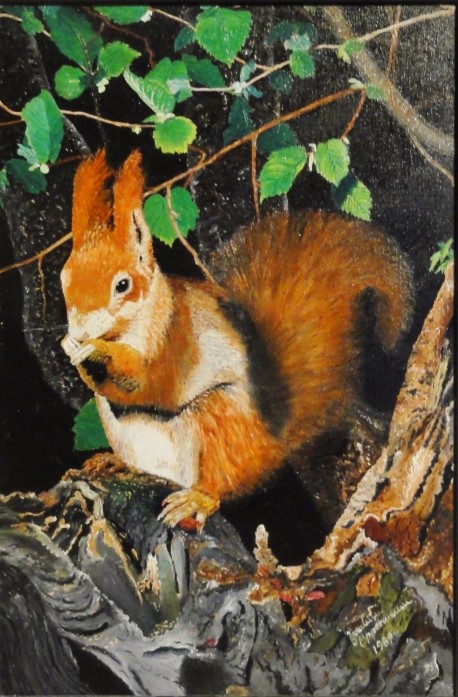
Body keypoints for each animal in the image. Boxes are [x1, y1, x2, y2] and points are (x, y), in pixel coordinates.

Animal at [61, 149, 413, 528]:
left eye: (122, 285)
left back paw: (198, 498)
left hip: (218, 421)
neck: (132, 326)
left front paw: (99, 351)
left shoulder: (178, 338)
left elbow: (152, 382)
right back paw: (115, 463)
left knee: (219, 484)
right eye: (64, 277)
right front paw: (72, 349)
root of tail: (269, 445)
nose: (80, 331)